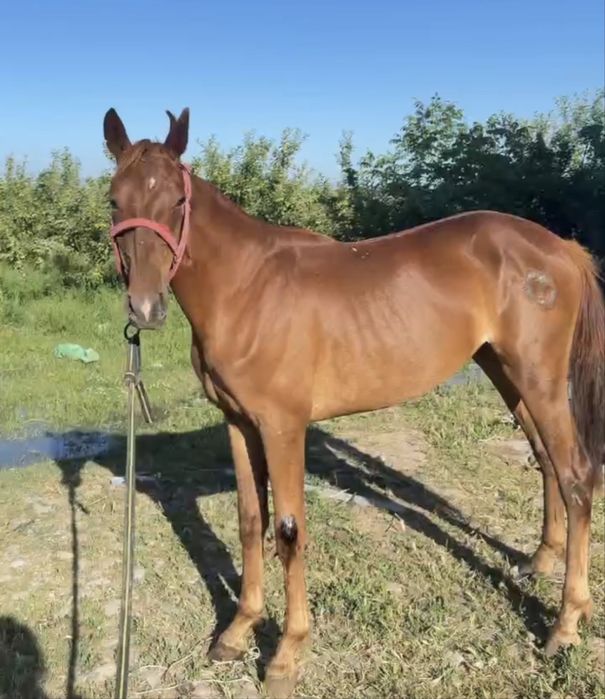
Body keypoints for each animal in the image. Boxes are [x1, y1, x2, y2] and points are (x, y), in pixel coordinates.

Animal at [103, 107, 604, 698]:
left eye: (177, 203)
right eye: (114, 201)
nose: (146, 308)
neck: (247, 288)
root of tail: (560, 248)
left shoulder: (283, 427)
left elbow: (288, 531)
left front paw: (286, 654)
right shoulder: (239, 424)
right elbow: (250, 521)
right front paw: (237, 630)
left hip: (540, 378)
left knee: (576, 477)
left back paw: (566, 623)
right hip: (504, 370)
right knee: (546, 460)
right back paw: (540, 562)